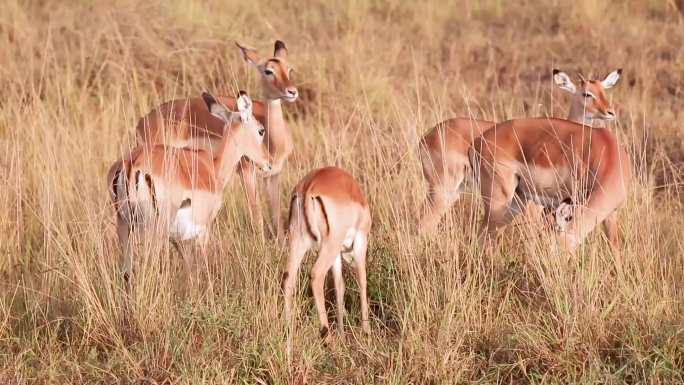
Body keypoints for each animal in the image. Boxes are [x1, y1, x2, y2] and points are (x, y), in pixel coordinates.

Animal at [107, 91, 270, 280]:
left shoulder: (178, 240)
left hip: (123, 225)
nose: (268, 163)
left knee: (127, 271)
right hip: (154, 228)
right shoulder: (203, 230)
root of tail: (131, 164)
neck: (213, 167)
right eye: (261, 131)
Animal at [137, 40, 300, 238]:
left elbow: (276, 216)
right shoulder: (246, 172)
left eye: (289, 69)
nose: (292, 92)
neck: (272, 141)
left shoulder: (274, 175)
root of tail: (143, 121)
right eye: (268, 71)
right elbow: (257, 215)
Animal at [280, 167, 372, 340]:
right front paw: (366, 331)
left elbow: (339, 285)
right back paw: (326, 336)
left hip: (299, 242)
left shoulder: (337, 254)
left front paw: (342, 334)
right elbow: (362, 281)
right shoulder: (360, 242)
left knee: (288, 278)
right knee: (316, 275)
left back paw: (289, 330)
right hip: (330, 245)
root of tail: (308, 186)